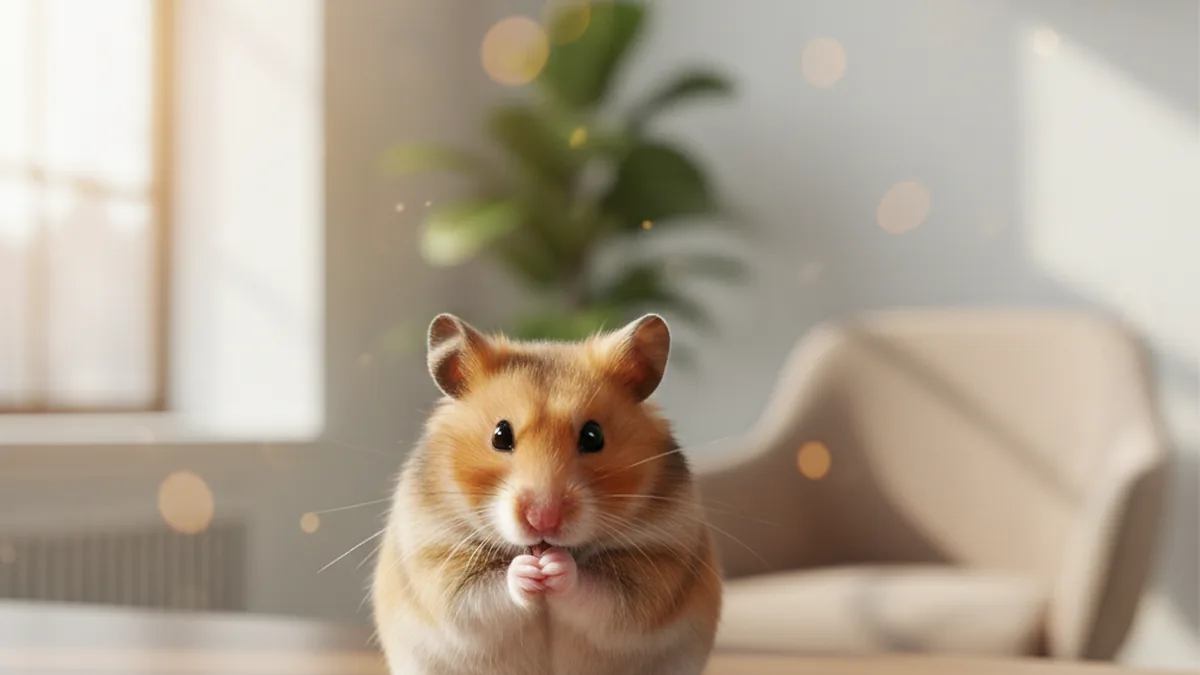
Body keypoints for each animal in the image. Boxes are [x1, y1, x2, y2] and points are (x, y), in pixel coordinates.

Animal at [371, 312, 722, 675]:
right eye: (500, 435)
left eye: (593, 436)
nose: (543, 519)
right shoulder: (436, 557)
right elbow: (481, 591)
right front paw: (530, 569)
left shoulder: (659, 561)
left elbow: (602, 591)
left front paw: (554, 566)